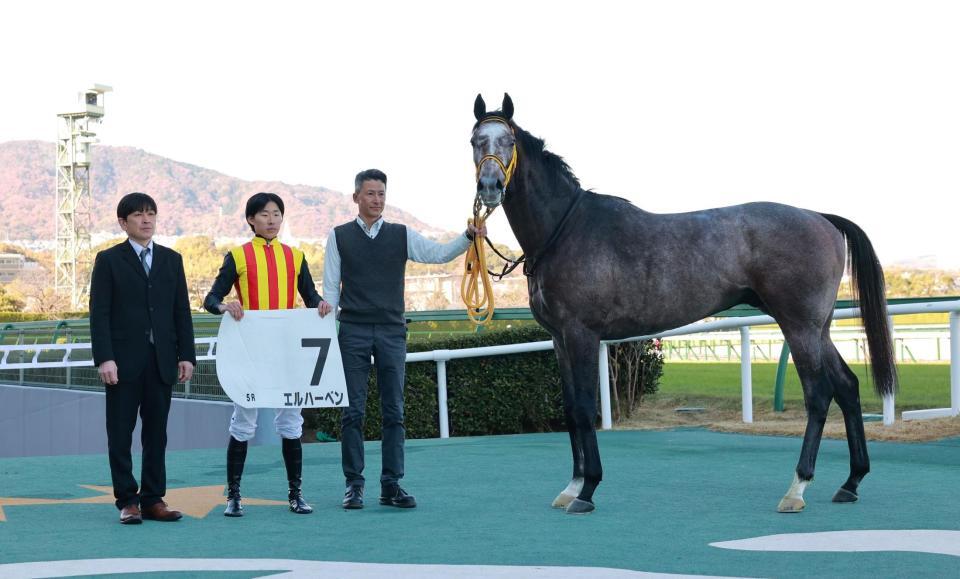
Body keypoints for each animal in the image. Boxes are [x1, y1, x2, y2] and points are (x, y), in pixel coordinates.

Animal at [470, 93, 897, 515]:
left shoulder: (582, 335)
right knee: (847, 386)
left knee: (819, 395)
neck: (566, 230)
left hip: (799, 326)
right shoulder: (560, 339)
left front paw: (587, 489)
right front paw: (572, 486)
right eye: (475, 140)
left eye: (509, 141)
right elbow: (571, 410)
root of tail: (821, 218)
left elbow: (585, 408)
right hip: (818, 327)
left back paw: (797, 488)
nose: (490, 185)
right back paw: (851, 482)